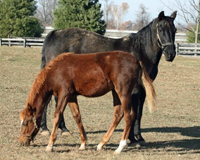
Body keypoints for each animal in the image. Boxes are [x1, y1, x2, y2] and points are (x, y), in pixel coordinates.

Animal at [40, 10, 177, 144]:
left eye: (174, 30)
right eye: (161, 29)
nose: (171, 54)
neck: (140, 51)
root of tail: (54, 33)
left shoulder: (143, 89)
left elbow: (139, 113)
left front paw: (139, 137)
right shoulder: (134, 90)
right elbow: (132, 112)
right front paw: (131, 138)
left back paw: (62, 129)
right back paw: (48, 129)